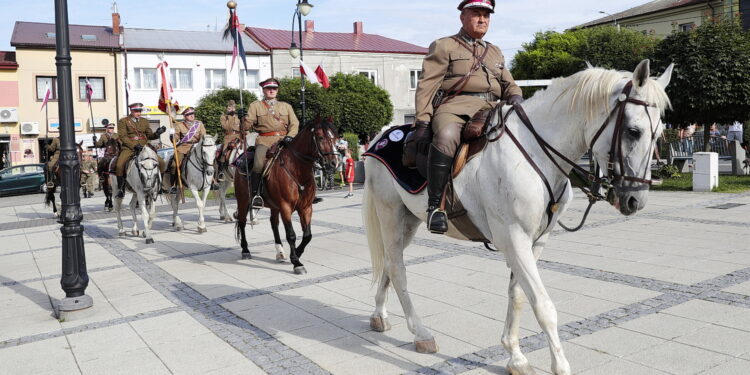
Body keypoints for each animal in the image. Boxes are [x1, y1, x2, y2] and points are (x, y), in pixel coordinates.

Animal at [236, 117, 340, 274]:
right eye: (321, 137)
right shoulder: (285, 207)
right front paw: (296, 262)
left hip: (274, 206)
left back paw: (280, 252)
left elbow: (307, 235)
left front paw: (297, 252)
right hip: (243, 200)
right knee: (242, 222)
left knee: (274, 224)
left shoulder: (306, 208)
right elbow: (291, 235)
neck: (297, 169)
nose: (334, 163)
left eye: (335, 138)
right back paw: (245, 250)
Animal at [364, 60, 676, 374]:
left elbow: (518, 296)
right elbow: (543, 305)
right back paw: (421, 333)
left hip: (409, 222)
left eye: (659, 133)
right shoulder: (514, 239)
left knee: (389, 264)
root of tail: (379, 138)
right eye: (634, 131)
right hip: (390, 215)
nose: (636, 200)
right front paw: (560, 365)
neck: (536, 152)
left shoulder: (535, 241)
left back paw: (379, 314)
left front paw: (515, 355)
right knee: (398, 270)